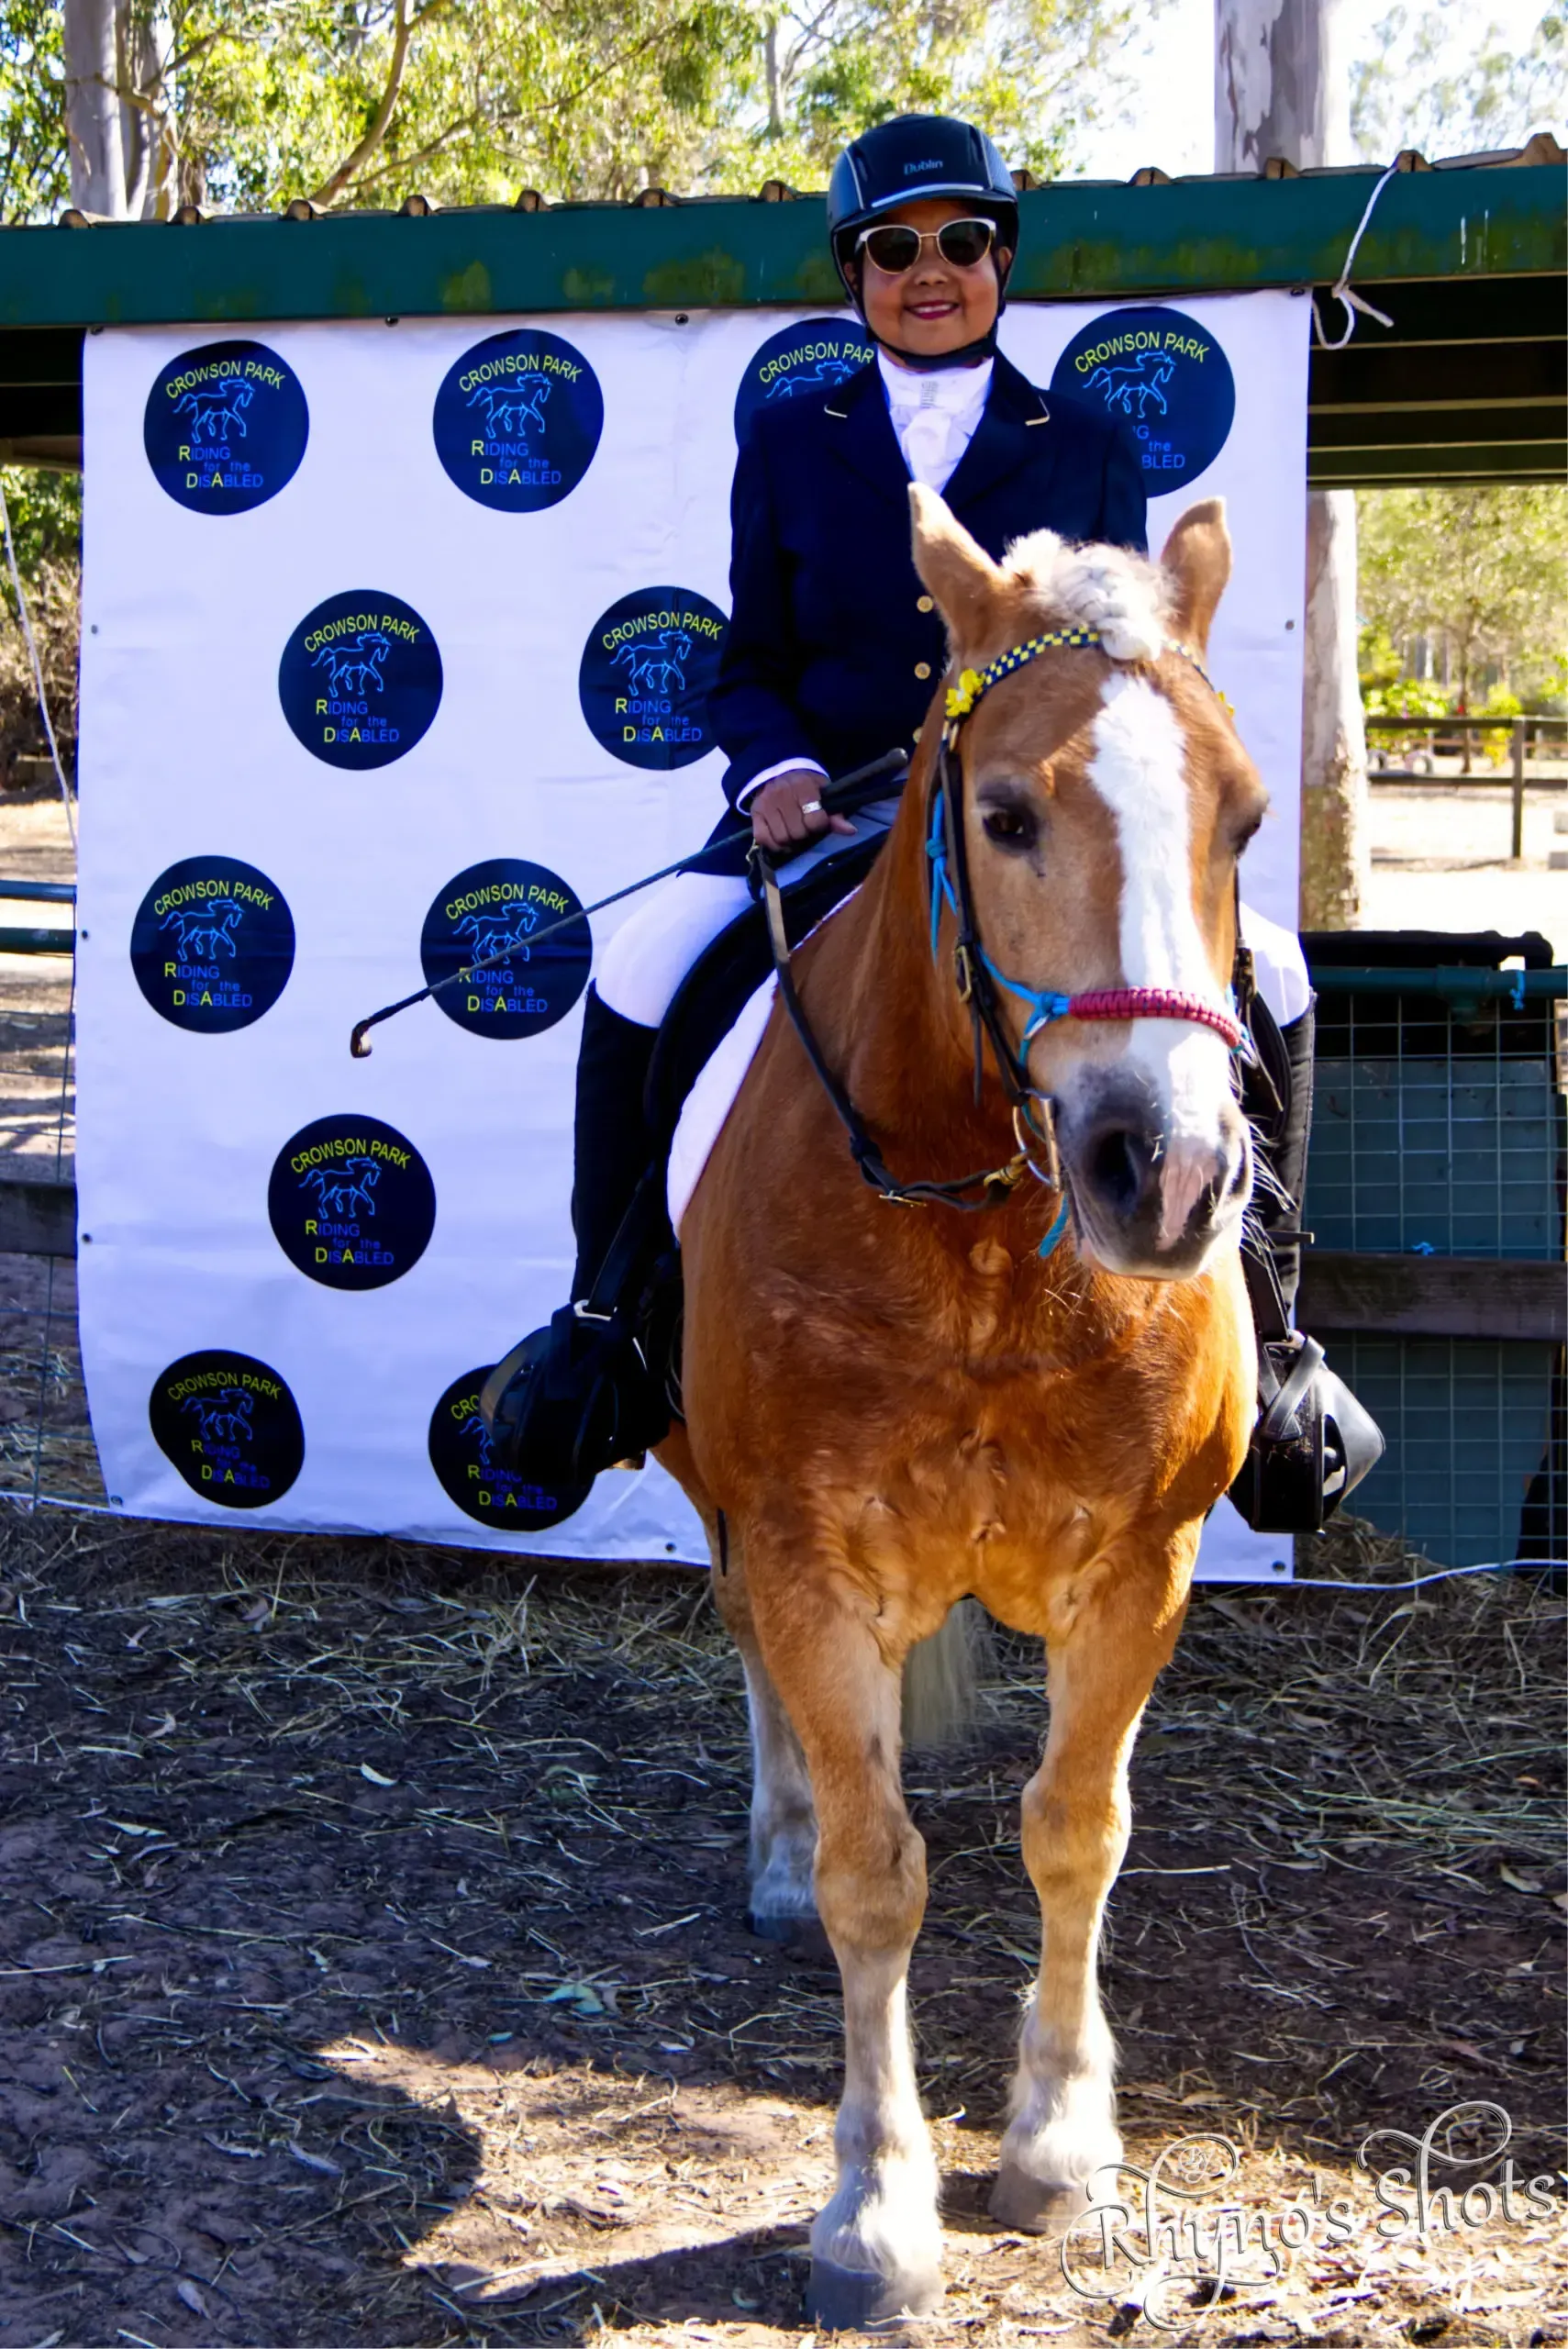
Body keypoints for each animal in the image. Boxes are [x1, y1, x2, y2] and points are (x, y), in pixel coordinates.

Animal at [655, 487, 1263, 2327]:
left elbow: (1075, 1831)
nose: (1170, 1174)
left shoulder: (1139, 1570)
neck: (984, 1247)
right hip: (724, 1511)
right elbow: (879, 1877)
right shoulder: (805, 1556)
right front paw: (875, 2211)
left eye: (1242, 821)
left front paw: (1057, 2144)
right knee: (757, 1682)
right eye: (1003, 815)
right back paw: (775, 1851)